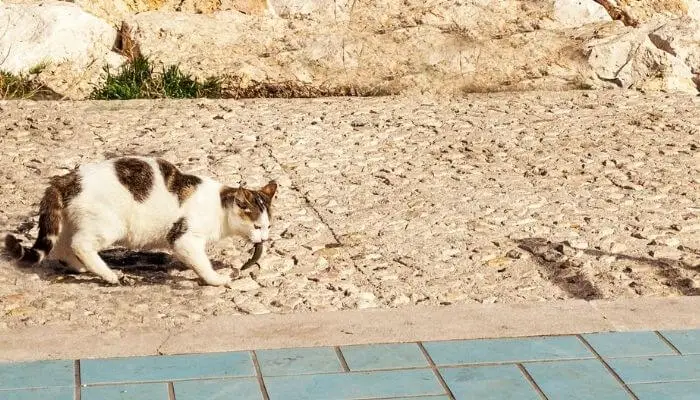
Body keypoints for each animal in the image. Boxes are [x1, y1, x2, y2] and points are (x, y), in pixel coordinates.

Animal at [2, 157, 276, 288]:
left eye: (268, 226)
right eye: (257, 226)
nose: (264, 239)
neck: (219, 207)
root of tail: (66, 178)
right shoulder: (184, 237)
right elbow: (201, 263)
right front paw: (216, 279)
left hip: (69, 223)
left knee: (62, 246)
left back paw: (79, 267)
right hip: (109, 224)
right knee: (81, 244)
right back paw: (109, 275)